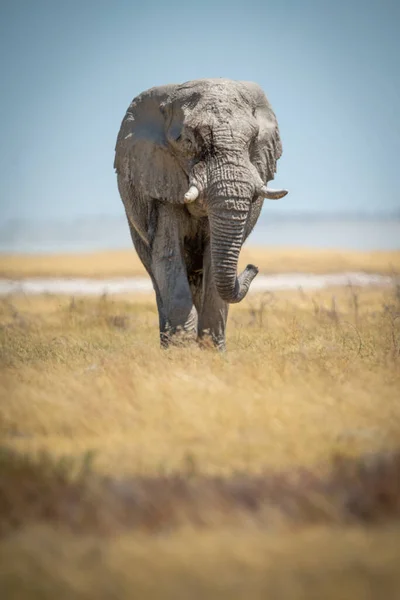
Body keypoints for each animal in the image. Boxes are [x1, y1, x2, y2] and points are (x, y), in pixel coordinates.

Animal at [114, 79, 286, 352]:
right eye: (186, 141)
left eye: (253, 140)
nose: (253, 266)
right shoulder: (162, 177)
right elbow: (168, 254)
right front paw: (181, 351)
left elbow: (213, 260)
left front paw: (210, 351)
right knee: (156, 274)